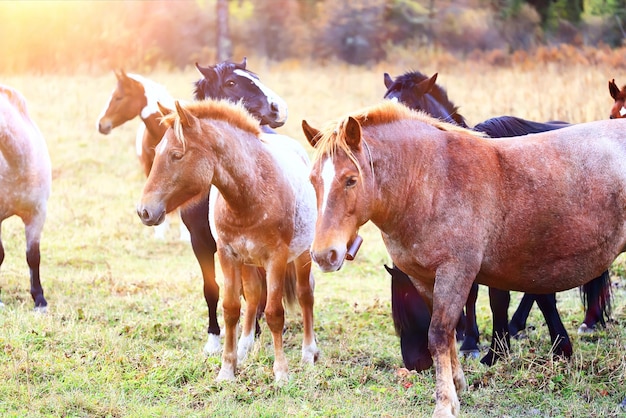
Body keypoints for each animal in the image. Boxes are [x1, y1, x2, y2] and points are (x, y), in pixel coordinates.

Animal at [136, 99, 316, 382]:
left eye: (177, 155)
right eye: (157, 153)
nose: (144, 211)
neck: (252, 194)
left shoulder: (276, 259)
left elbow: (275, 314)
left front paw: (281, 373)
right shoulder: (227, 255)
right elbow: (231, 309)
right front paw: (227, 370)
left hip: (302, 254)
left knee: (305, 295)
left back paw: (309, 353)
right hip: (250, 262)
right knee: (252, 296)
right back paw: (244, 348)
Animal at [302, 100, 624, 414]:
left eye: (350, 180)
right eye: (313, 181)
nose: (324, 255)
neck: (431, 181)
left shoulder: (456, 271)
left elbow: (439, 333)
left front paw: (445, 403)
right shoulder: (424, 278)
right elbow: (445, 332)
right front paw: (458, 385)